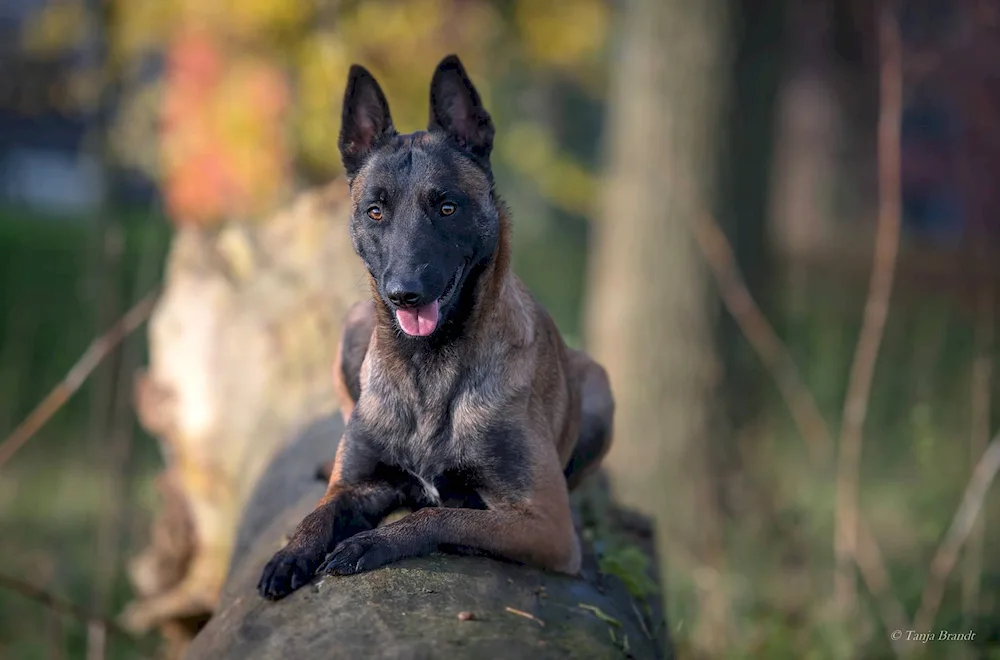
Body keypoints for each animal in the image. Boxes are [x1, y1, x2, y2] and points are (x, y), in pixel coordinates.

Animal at [256, 52, 616, 600]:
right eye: (375, 211)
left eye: (447, 206)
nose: (404, 293)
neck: (428, 369)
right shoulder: (356, 481)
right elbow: (320, 513)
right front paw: (290, 553)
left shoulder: (546, 525)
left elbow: (443, 517)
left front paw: (372, 542)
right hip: (353, 326)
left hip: (599, 385)